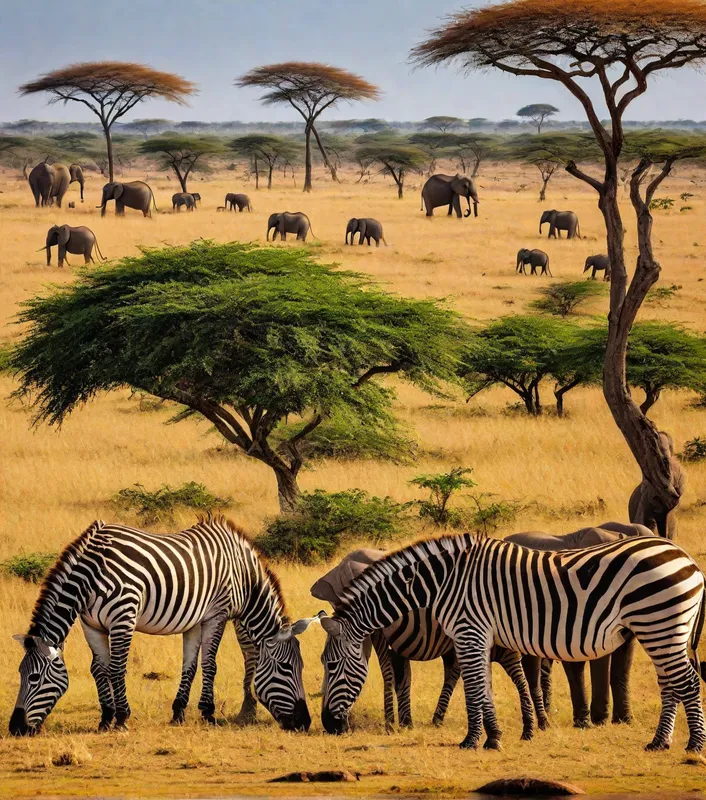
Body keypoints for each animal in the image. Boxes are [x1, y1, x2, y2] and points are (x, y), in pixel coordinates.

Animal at [10, 516, 318, 736]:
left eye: (31, 677)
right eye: (288, 668)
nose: (16, 728)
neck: (245, 576)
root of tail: (94, 547)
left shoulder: (195, 617)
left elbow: (191, 665)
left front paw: (177, 712)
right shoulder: (216, 613)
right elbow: (209, 664)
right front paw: (207, 713)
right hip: (124, 612)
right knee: (116, 667)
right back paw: (121, 717)